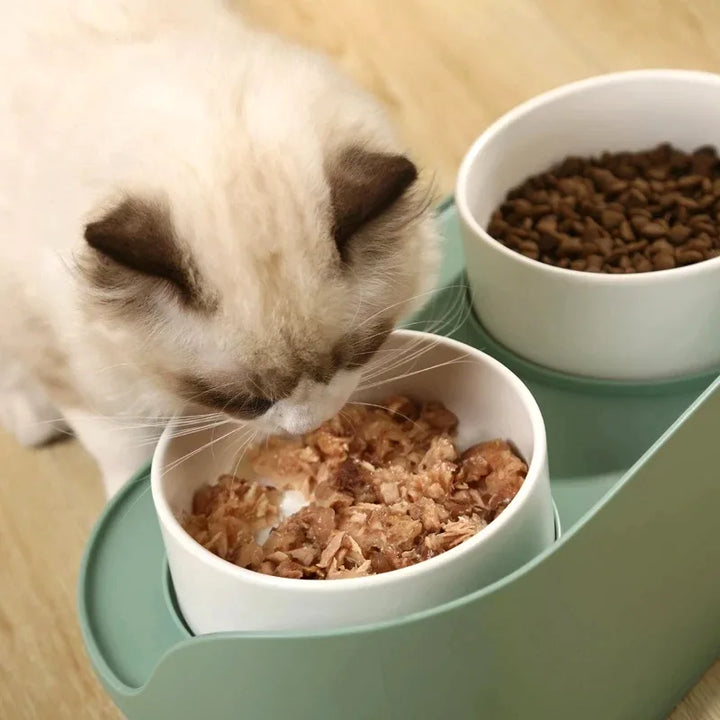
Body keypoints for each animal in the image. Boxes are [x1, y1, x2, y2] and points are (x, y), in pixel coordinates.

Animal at [0, 0, 438, 498]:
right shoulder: (76, 368)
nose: (307, 424)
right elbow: (124, 453)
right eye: (243, 401)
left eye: (358, 355)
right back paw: (32, 419)